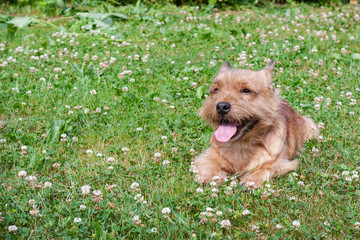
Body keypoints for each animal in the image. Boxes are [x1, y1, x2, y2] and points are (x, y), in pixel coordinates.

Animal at [193, 60, 320, 188]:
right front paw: (211, 177)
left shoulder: (282, 164)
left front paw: (251, 181)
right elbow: (209, 164)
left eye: (246, 91)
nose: (221, 106)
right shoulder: (208, 155)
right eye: (216, 89)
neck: (241, 144)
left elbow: (264, 169)